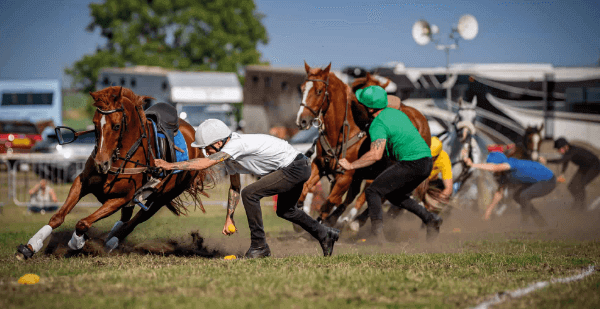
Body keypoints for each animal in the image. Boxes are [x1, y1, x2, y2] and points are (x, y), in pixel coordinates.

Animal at [16, 86, 211, 260]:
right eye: (95, 124)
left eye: (117, 126)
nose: (101, 163)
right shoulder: (82, 182)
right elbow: (58, 217)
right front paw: (30, 246)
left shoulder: (121, 198)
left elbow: (83, 222)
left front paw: (76, 243)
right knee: (125, 220)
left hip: (161, 198)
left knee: (133, 222)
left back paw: (109, 244)